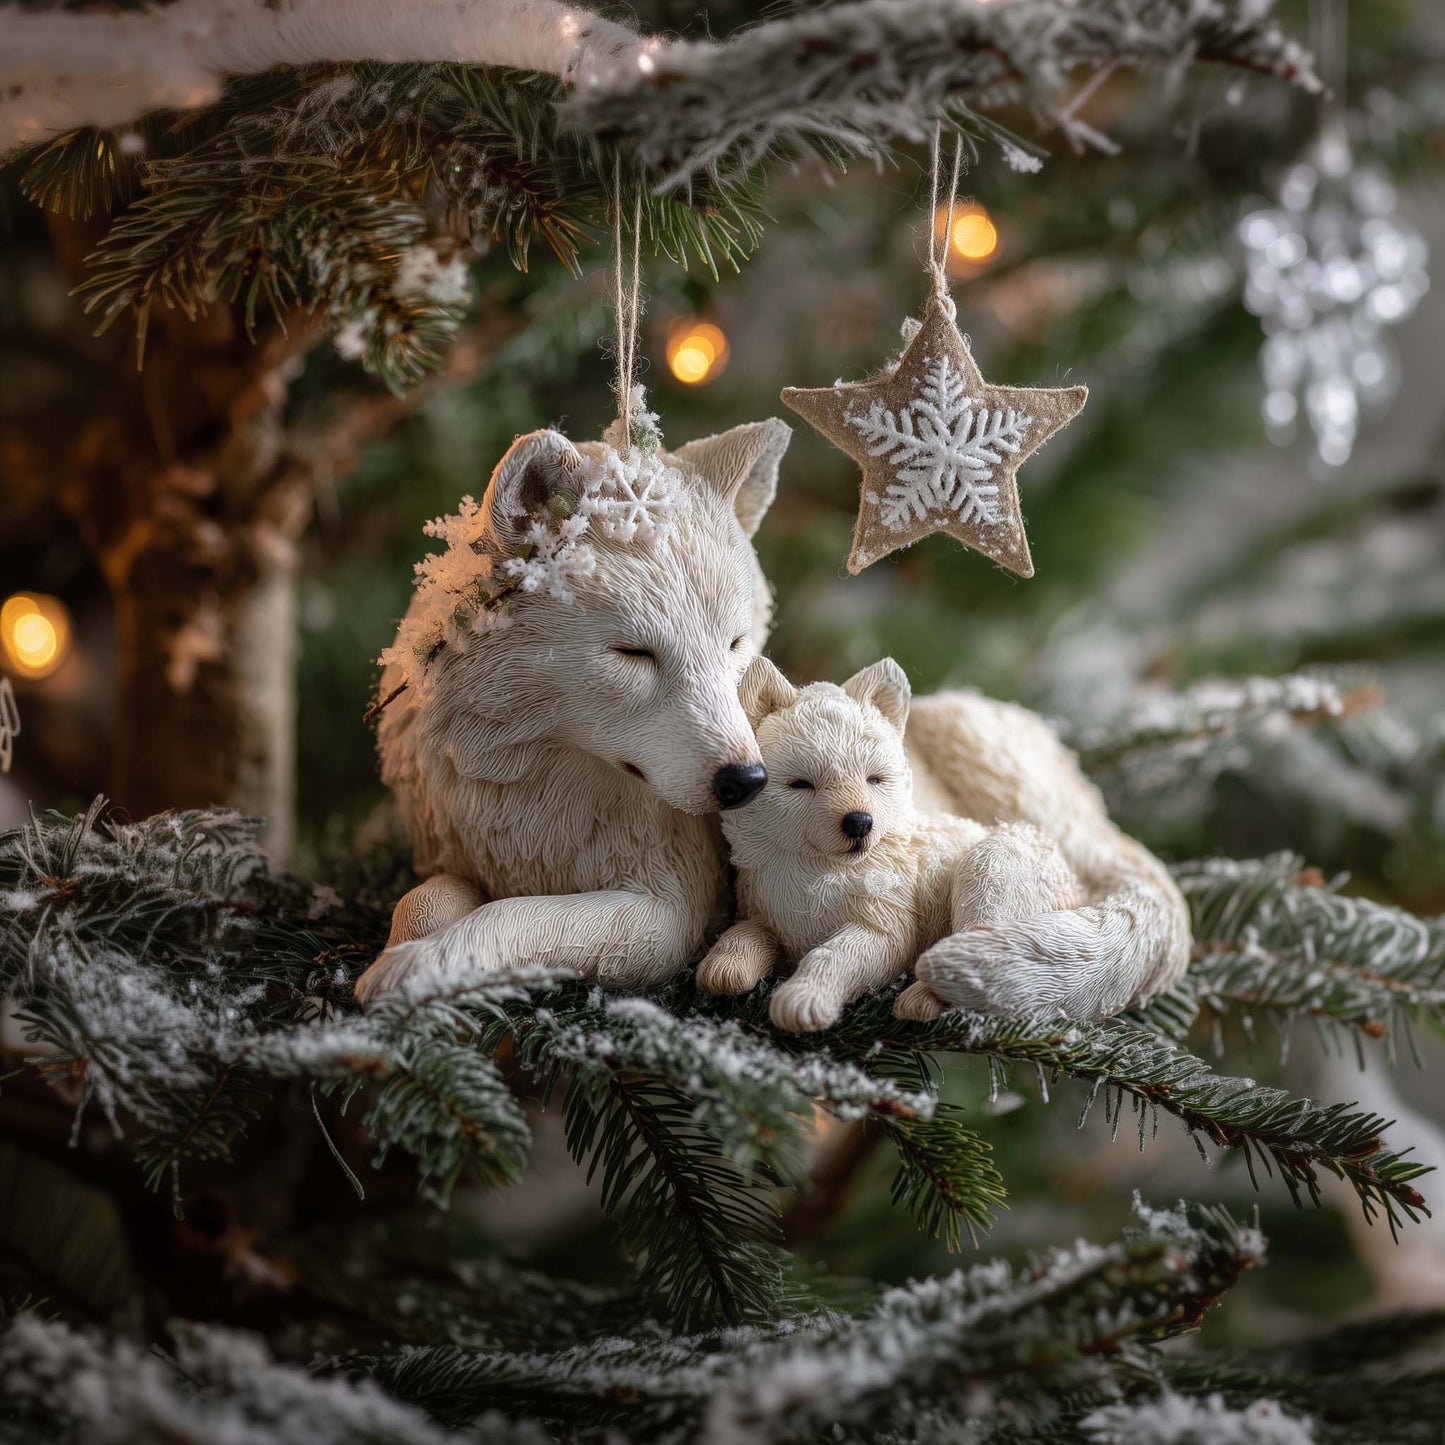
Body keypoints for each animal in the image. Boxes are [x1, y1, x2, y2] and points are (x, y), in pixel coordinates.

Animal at [698, 656, 1084, 1031]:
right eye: (801, 784)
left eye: (874, 779)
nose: (859, 822)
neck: (816, 871)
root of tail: (1075, 888)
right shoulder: (766, 913)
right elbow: (743, 933)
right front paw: (723, 969)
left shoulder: (886, 922)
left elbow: (835, 955)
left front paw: (802, 1002)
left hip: (993, 870)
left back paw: (922, 1000)